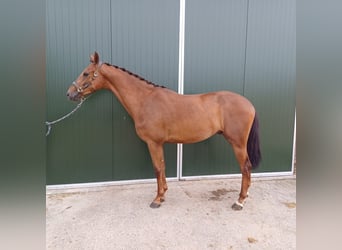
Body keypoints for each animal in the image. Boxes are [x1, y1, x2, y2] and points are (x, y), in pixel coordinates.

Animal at [66, 51, 262, 210]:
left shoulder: (153, 143)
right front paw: (163, 194)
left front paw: (157, 199)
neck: (145, 100)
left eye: (85, 73)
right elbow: (162, 166)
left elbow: (157, 168)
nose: (69, 93)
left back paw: (240, 201)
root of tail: (249, 104)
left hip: (237, 144)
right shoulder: (159, 144)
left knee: (245, 167)